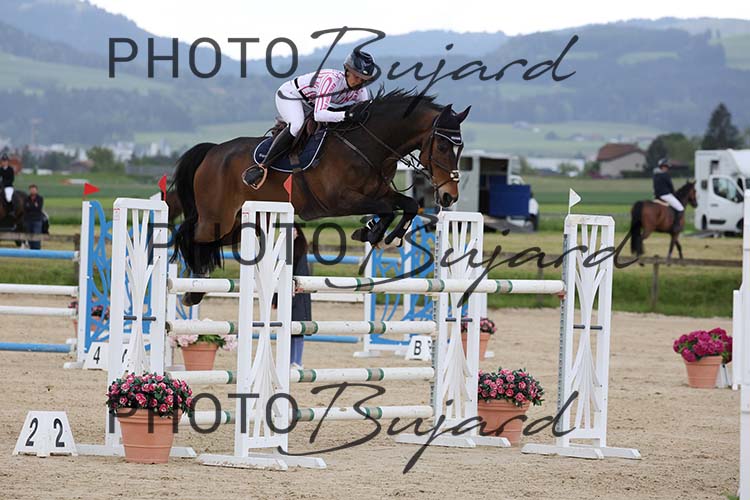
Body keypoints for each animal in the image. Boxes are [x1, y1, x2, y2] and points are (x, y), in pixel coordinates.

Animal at [171, 88, 469, 306]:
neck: (366, 144)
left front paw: (381, 235)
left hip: (237, 225)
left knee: (204, 241)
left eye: (461, 147)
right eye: (443, 146)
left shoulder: (380, 191)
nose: (448, 196)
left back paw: (196, 288)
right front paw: (374, 233)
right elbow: (387, 208)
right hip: (216, 218)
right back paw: (191, 290)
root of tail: (212, 151)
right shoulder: (340, 201)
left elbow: (407, 204)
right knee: (189, 235)